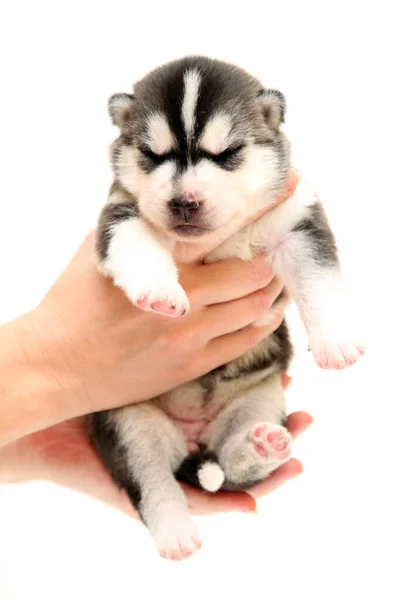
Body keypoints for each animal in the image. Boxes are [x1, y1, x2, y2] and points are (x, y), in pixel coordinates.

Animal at [89, 54, 364, 560]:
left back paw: (260, 449)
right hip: (127, 423)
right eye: (152, 155)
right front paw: (160, 290)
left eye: (228, 152)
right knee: (152, 483)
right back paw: (176, 532)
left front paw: (336, 342)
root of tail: (195, 441)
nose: (183, 202)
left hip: (260, 399)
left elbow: (318, 279)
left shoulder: (297, 222)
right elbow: (136, 243)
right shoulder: (119, 212)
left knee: (233, 466)